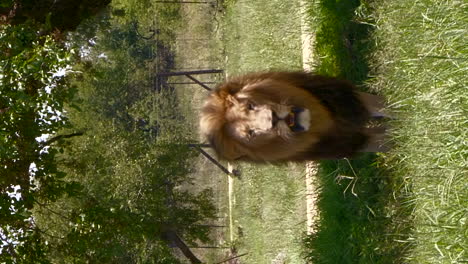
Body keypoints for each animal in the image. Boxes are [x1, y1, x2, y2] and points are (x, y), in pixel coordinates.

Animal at [199, 71, 390, 162]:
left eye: (250, 106)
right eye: (250, 133)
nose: (274, 118)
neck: (320, 120)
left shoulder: (348, 101)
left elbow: (383, 105)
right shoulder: (344, 141)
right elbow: (384, 142)